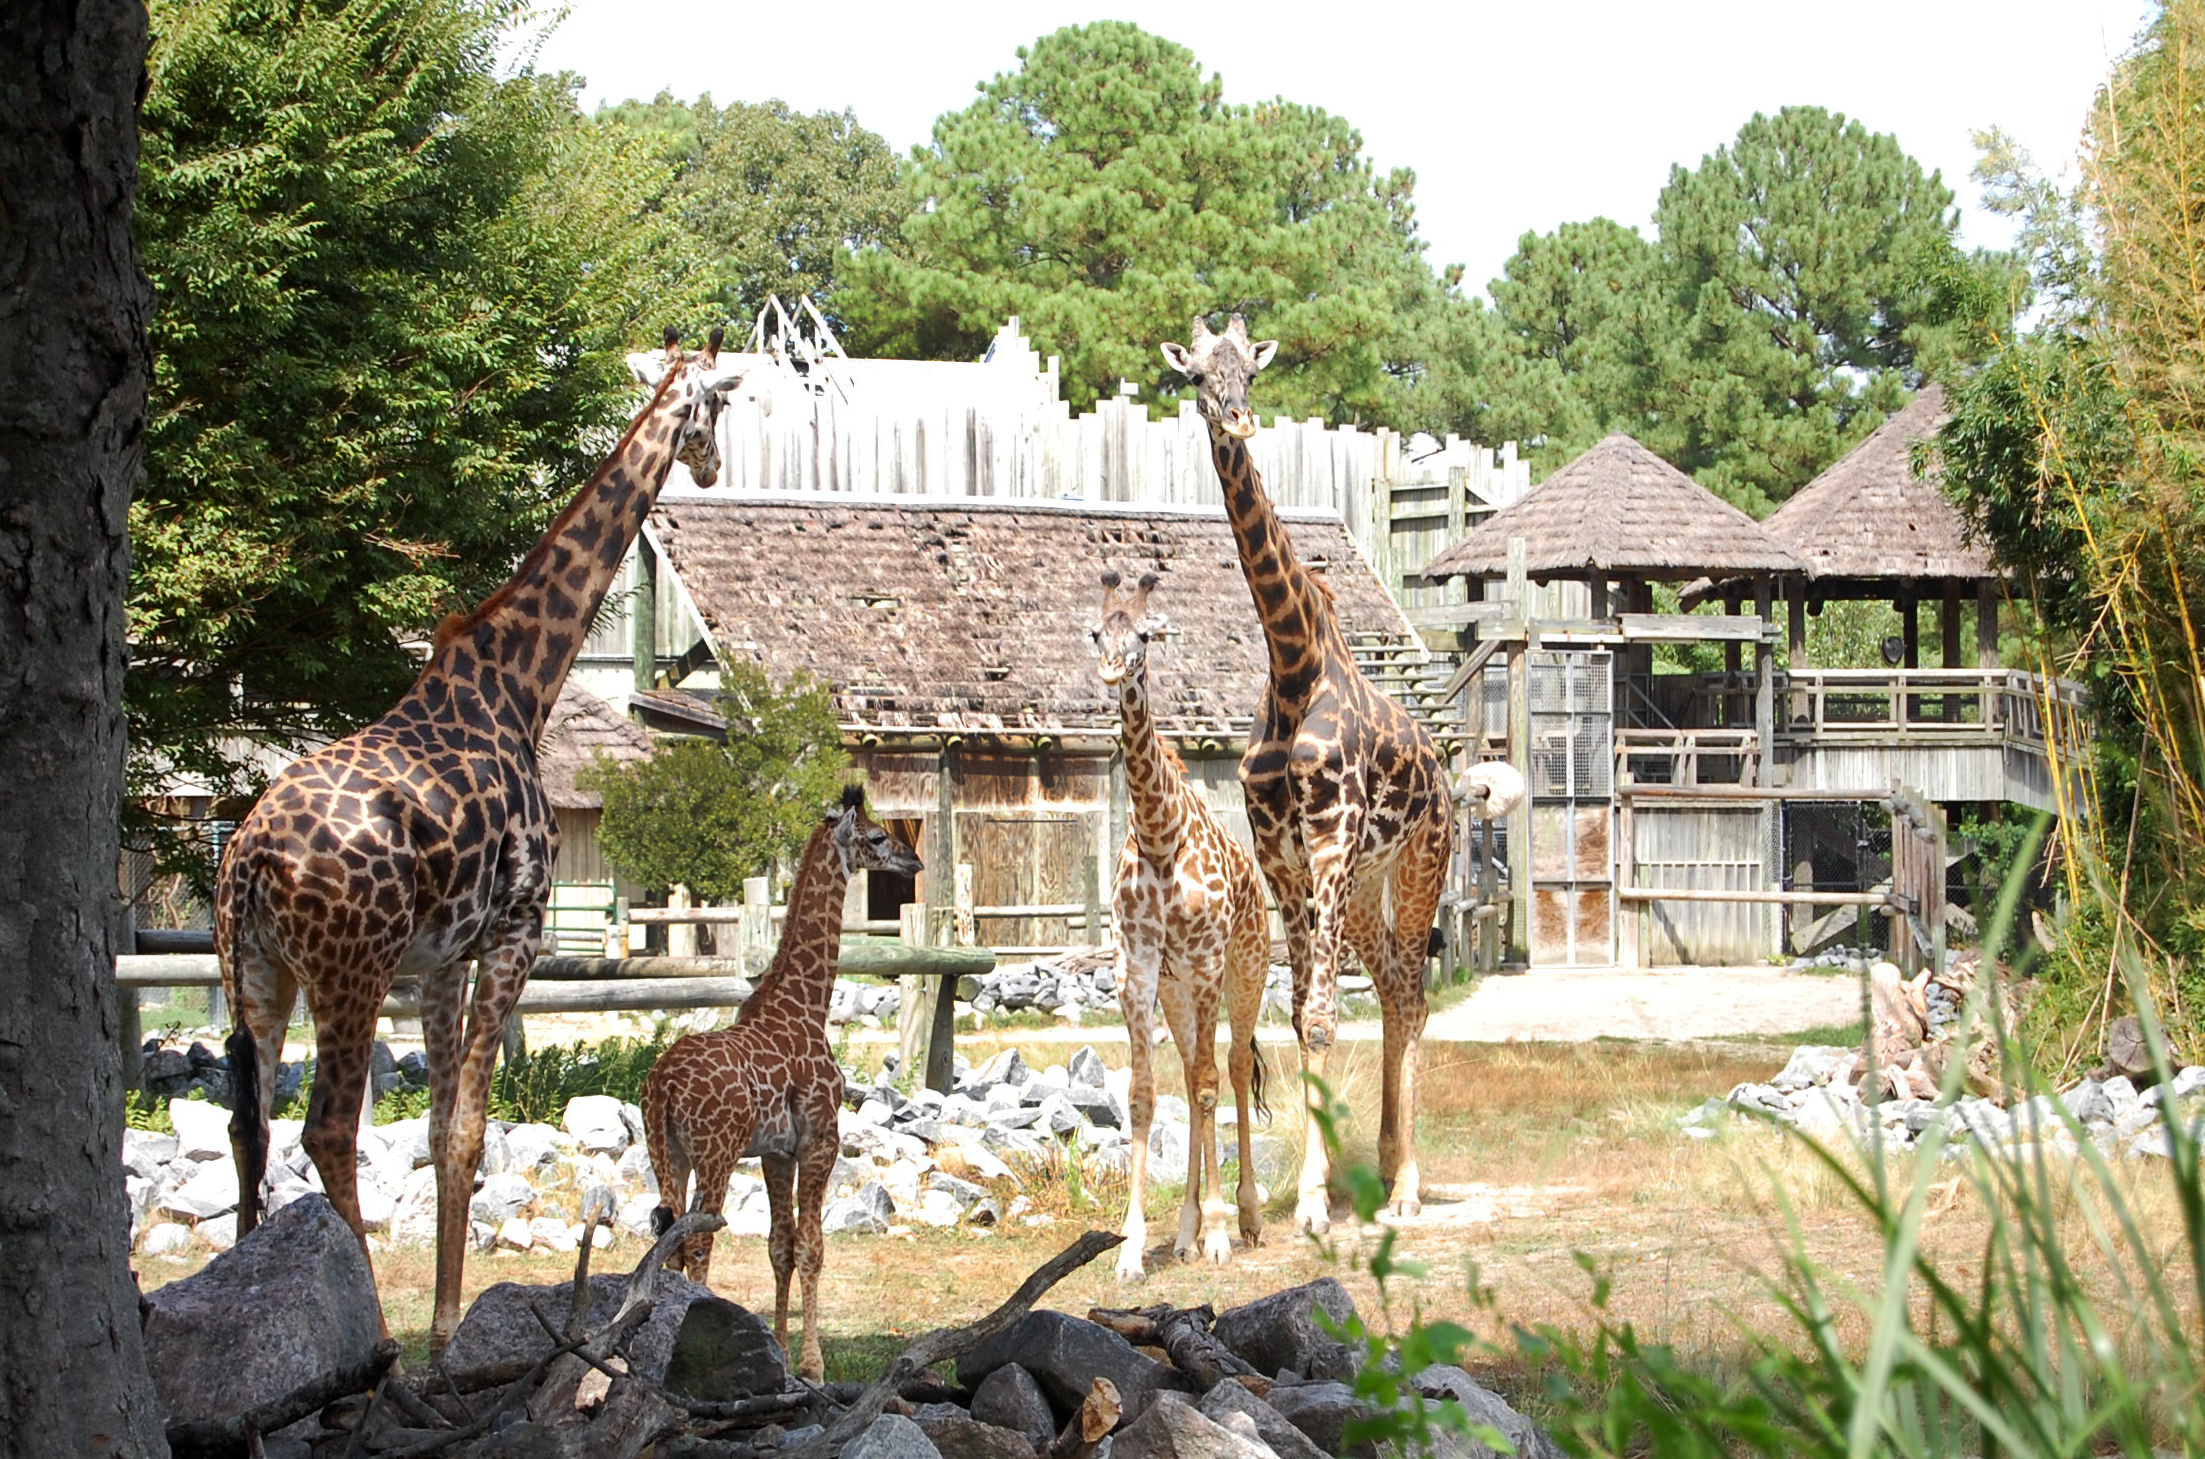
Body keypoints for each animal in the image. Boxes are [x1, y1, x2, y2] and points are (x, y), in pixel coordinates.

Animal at [216, 327, 746, 1354]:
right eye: (721, 406)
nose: (709, 467)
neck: (523, 682)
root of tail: (251, 857)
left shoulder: (440, 959)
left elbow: (439, 1136)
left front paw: (446, 1318)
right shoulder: (515, 932)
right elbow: (466, 1129)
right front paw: (444, 1328)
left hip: (256, 971)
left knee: (249, 1125)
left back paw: (247, 1289)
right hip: (348, 969)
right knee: (324, 1129)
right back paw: (369, 1330)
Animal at [641, 787, 923, 1381]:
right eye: (878, 836)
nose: (915, 862)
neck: (807, 1005)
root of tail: (662, 1088)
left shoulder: (776, 1151)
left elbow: (781, 1246)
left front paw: (782, 1354)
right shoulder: (821, 1141)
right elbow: (813, 1247)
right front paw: (813, 1366)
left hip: (667, 1153)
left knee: (667, 1240)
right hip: (716, 1152)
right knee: (698, 1242)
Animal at [1090, 570, 1270, 1281]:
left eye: (1143, 634)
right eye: (1096, 632)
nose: (1113, 669)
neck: (1160, 833)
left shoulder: (1207, 961)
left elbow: (1210, 1084)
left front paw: (1220, 1235)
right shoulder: (1136, 968)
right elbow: (1145, 1095)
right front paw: (1133, 1249)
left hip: (1247, 972)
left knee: (1231, 1068)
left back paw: (1241, 1220)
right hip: (1177, 992)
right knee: (1196, 1075)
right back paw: (1190, 1232)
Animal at [1162, 313, 1454, 1231]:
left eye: (1250, 372)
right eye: (1196, 376)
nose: (1236, 419)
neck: (1292, 666)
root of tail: (1445, 773)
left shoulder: (1329, 842)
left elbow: (1323, 1017)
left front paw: (1317, 1205)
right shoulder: (1284, 858)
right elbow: (1297, 1016)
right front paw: (1311, 1190)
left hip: (1421, 861)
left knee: (1414, 991)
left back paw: (1406, 1188)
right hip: (1362, 890)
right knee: (1394, 984)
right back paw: (1390, 1168)